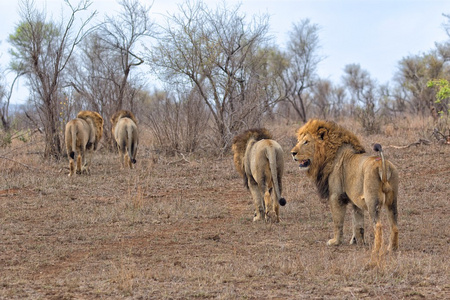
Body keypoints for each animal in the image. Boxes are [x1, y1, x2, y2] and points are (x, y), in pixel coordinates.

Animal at [290, 118, 400, 254]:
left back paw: (376, 249)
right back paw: (392, 248)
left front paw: (335, 242)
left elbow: (338, 221)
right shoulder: (356, 201)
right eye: (299, 141)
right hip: (392, 201)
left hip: (372, 201)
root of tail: (382, 166)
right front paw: (357, 241)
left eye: (306, 142)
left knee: (378, 226)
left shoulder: (336, 196)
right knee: (394, 226)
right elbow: (358, 223)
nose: (292, 153)